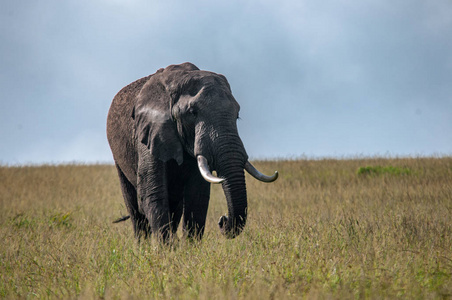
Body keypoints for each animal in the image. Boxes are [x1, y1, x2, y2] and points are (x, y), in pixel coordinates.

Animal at [107, 62, 276, 241]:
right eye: (192, 113)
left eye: (237, 115)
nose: (222, 220)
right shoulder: (149, 131)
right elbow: (152, 193)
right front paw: (164, 248)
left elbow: (197, 197)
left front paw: (188, 247)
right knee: (135, 208)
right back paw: (143, 245)